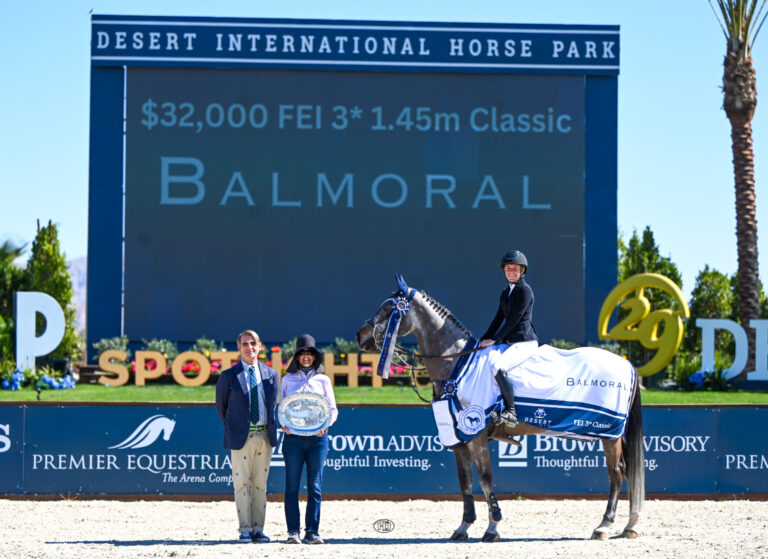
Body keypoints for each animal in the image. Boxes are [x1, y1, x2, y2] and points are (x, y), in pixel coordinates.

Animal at [356, 280, 644, 544]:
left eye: (388, 308)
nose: (360, 336)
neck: (457, 364)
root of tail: (627, 364)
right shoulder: (459, 440)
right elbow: (465, 482)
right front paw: (463, 527)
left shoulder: (477, 437)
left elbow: (485, 480)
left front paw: (492, 528)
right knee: (627, 470)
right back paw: (630, 525)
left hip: (609, 434)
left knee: (616, 472)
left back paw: (604, 526)